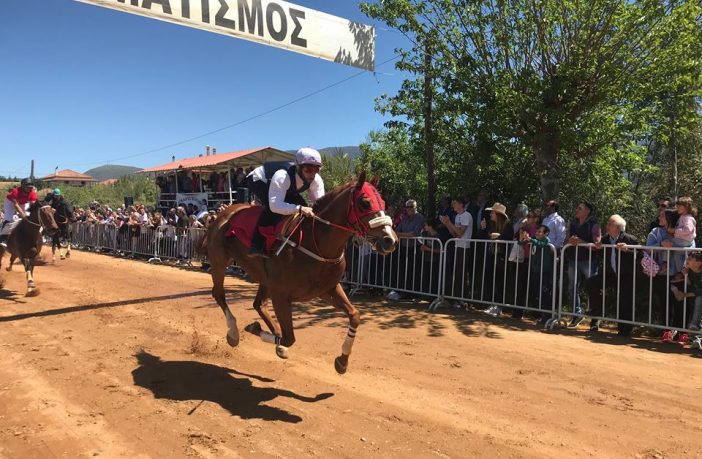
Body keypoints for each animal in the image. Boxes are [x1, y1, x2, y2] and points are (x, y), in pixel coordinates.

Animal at [206, 172, 398, 374]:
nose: (390, 240)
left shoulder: (327, 289)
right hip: (219, 261)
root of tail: (226, 211)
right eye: (365, 202)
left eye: (383, 202)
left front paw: (342, 360)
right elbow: (289, 338)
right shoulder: (281, 295)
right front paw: (256, 330)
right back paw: (234, 333)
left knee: (259, 304)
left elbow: (355, 315)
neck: (316, 243)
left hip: (264, 278)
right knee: (219, 294)